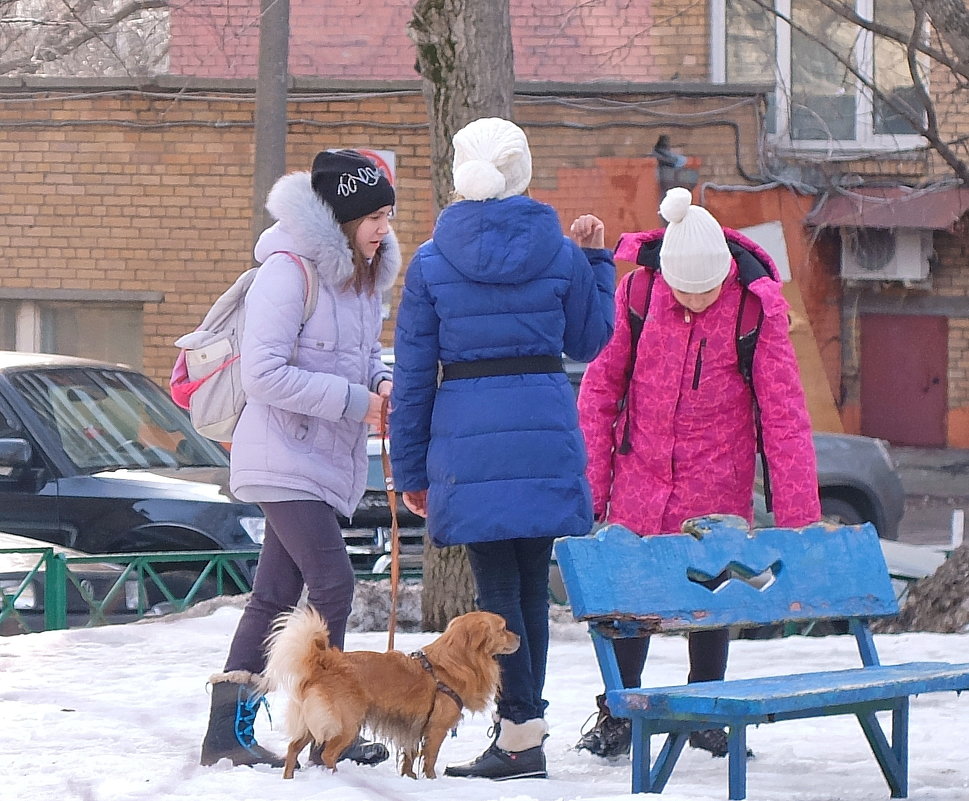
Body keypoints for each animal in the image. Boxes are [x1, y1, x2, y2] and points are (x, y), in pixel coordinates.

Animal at [260, 608, 520, 780]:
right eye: (503, 629)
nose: (519, 637)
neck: (451, 663)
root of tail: (323, 663)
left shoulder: (413, 727)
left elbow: (410, 756)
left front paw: (410, 778)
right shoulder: (436, 729)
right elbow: (431, 758)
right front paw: (431, 780)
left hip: (311, 722)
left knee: (293, 748)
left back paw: (289, 779)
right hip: (347, 724)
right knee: (328, 754)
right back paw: (338, 777)